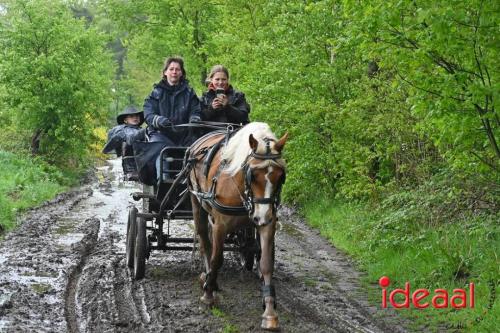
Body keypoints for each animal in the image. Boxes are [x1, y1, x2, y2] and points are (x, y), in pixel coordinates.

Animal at [188, 122, 290, 330]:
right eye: (253, 175)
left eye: (280, 176)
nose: (262, 215)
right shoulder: (220, 224)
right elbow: (217, 259)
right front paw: (208, 296)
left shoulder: (267, 224)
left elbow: (266, 263)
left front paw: (269, 313)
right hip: (197, 202)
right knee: (204, 240)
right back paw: (208, 279)